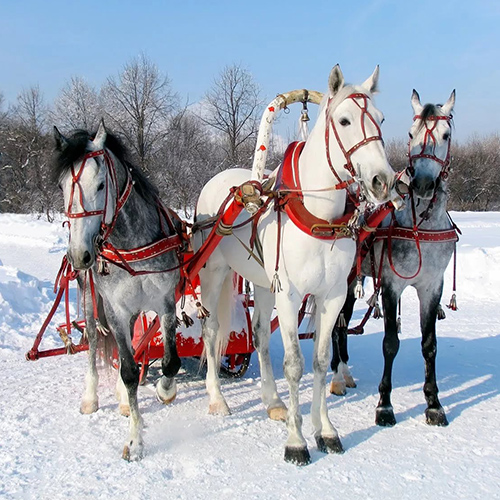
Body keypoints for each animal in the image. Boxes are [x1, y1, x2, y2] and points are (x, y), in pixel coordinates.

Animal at [52, 123, 184, 458]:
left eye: (101, 185)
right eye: (61, 187)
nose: (80, 254)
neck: (131, 243)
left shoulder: (165, 302)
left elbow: (169, 361)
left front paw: (165, 390)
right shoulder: (115, 310)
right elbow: (127, 371)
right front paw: (135, 440)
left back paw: (123, 398)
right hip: (90, 298)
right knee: (93, 340)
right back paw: (92, 397)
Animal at [193, 65, 396, 464]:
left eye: (381, 119)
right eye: (345, 121)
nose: (383, 181)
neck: (319, 216)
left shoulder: (332, 296)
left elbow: (320, 359)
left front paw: (326, 431)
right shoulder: (289, 296)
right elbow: (295, 365)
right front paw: (297, 440)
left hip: (261, 283)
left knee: (258, 335)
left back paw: (273, 401)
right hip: (214, 275)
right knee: (211, 332)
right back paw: (217, 398)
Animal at [330, 90, 458, 426]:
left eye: (446, 135)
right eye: (411, 134)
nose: (423, 184)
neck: (419, 226)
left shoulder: (432, 286)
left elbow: (429, 345)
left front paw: (434, 403)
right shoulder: (391, 285)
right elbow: (390, 344)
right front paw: (384, 405)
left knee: (341, 323)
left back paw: (341, 372)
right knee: (337, 325)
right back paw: (337, 377)